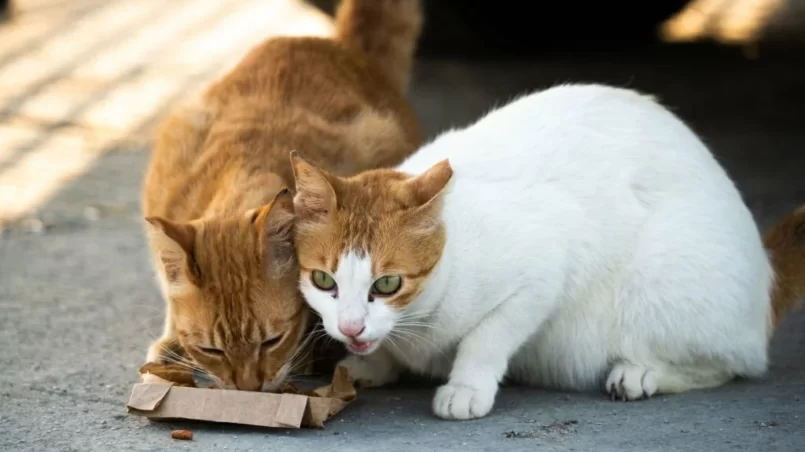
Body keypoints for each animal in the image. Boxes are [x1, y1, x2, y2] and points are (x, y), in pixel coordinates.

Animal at [292, 84, 804, 420]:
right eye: (324, 281)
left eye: (387, 283)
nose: (351, 328)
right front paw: (374, 362)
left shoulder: (542, 272)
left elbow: (486, 338)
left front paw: (466, 385)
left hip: (660, 285)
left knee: (730, 363)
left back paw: (641, 374)